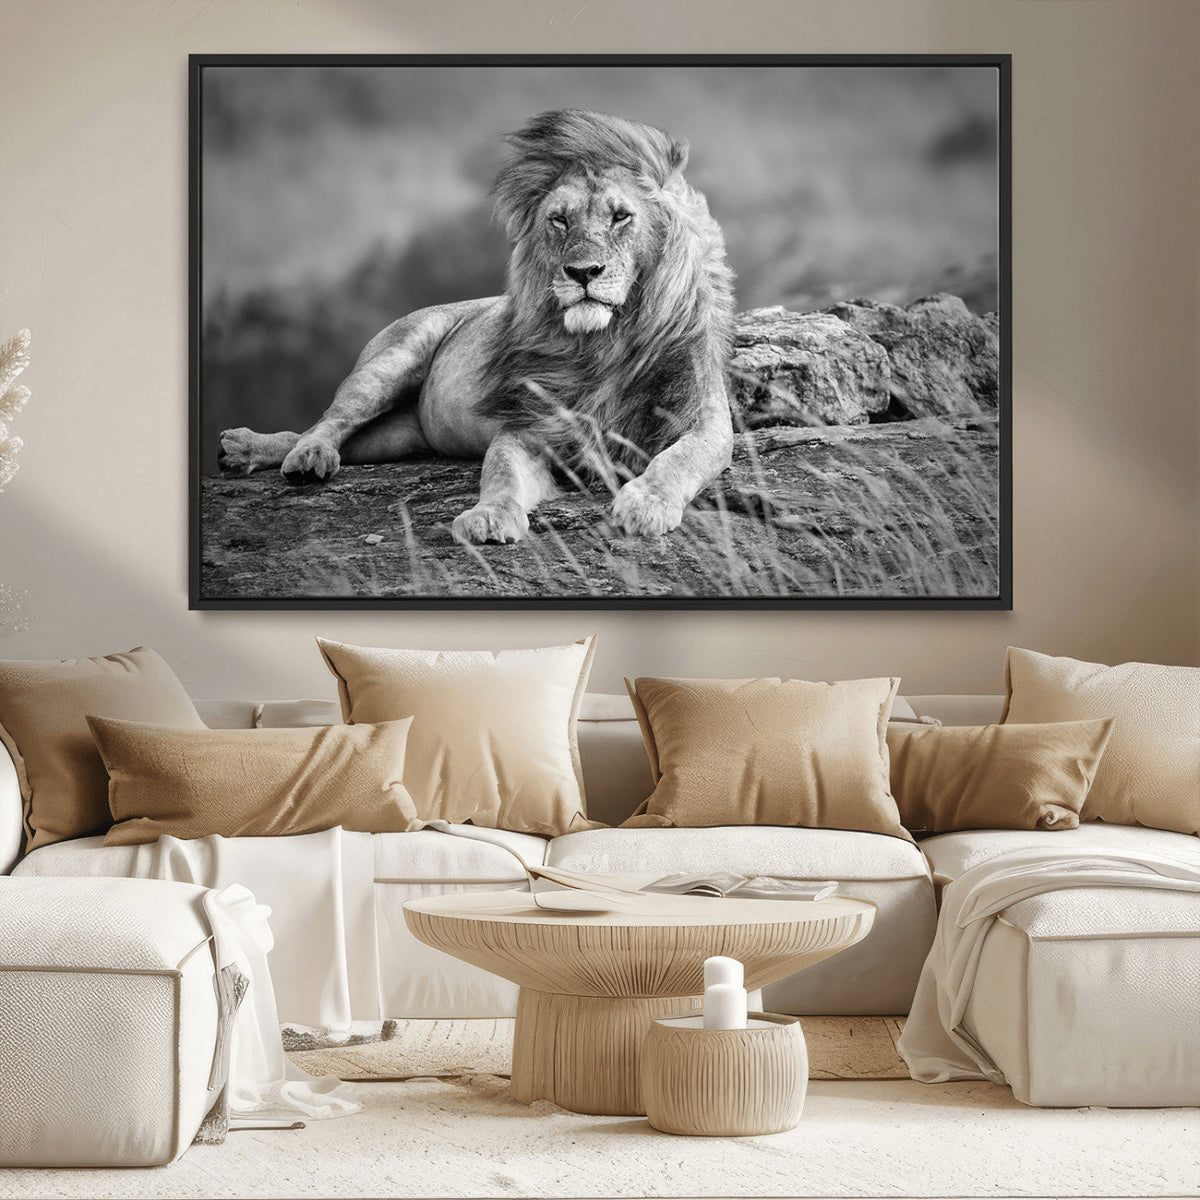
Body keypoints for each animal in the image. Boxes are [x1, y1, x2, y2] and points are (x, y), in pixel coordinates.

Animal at [218, 108, 735, 543]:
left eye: (621, 216)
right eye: (559, 220)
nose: (582, 272)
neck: (604, 343)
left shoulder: (704, 420)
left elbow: (678, 459)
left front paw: (646, 503)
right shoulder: (528, 427)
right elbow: (500, 472)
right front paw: (489, 517)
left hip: (398, 437)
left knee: (335, 437)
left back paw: (247, 450)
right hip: (389, 362)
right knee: (328, 422)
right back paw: (294, 455)